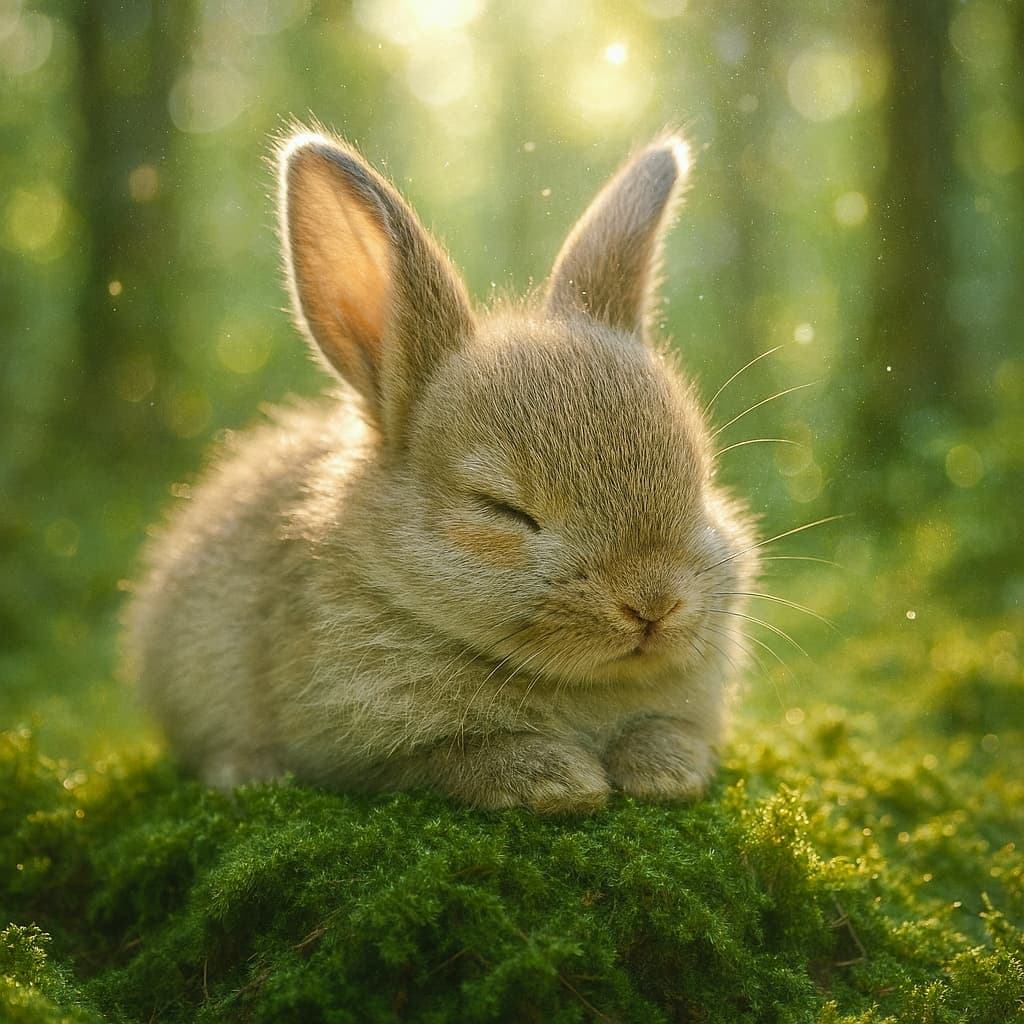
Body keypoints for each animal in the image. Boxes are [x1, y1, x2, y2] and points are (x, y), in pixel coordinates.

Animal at [124, 126, 760, 813]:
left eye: (699, 484)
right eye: (502, 509)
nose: (653, 604)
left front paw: (665, 770)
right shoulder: (361, 744)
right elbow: (444, 759)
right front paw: (557, 779)